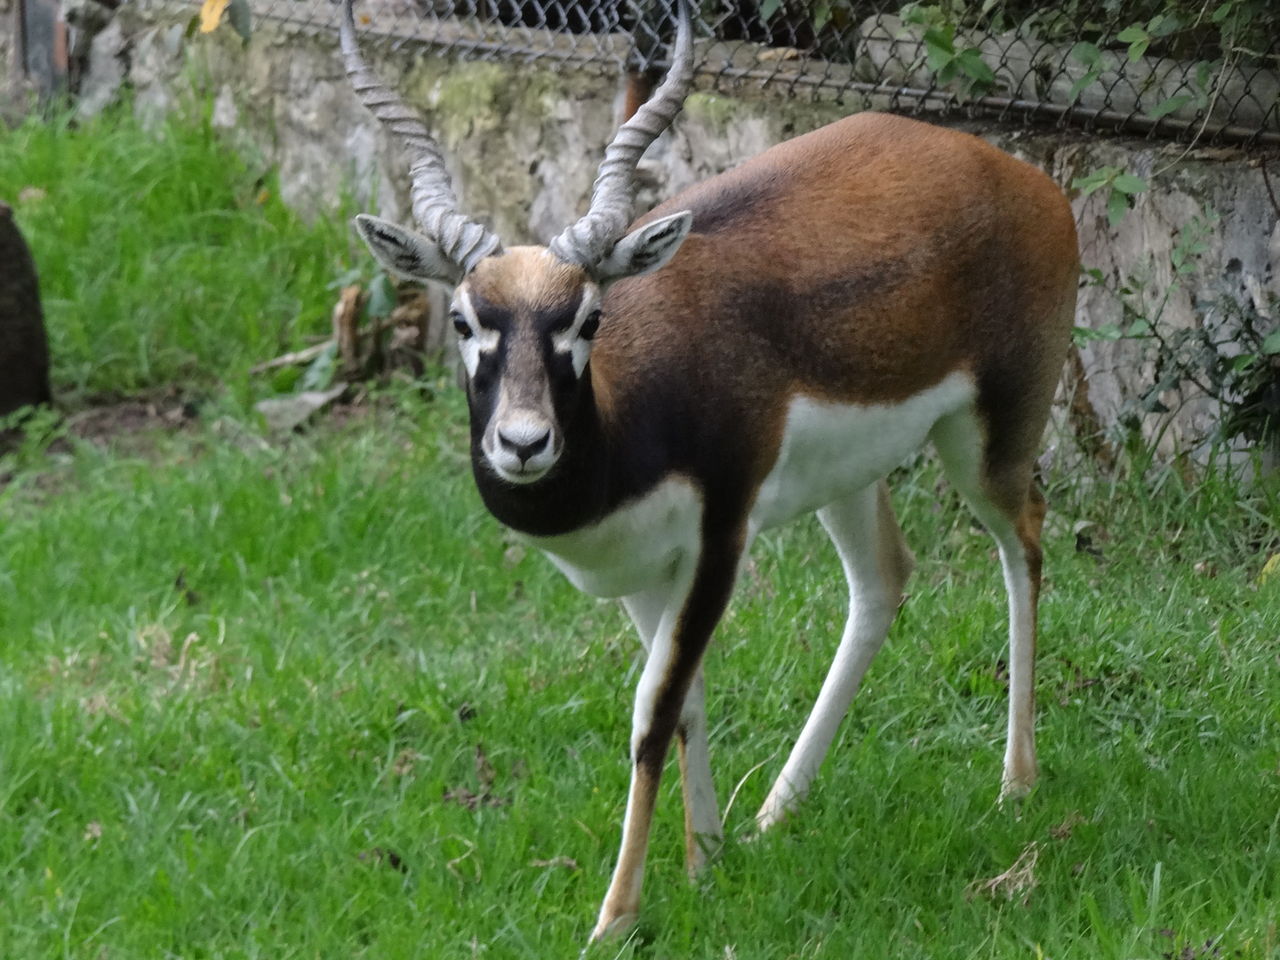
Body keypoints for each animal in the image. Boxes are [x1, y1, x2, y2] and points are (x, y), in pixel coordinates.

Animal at [337, 0, 1080, 947]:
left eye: (587, 318)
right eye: (466, 319)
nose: (524, 443)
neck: (625, 425)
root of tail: (1022, 178)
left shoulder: (721, 539)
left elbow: (651, 714)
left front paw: (616, 917)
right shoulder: (641, 573)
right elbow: (684, 699)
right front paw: (708, 860)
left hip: (991, 435)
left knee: (1024, 544)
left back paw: (1016, 783)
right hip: (851, 477)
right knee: (884, 580)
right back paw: (776, 812)